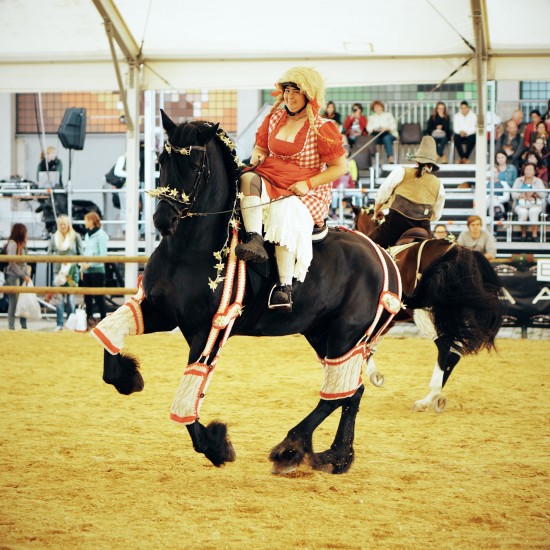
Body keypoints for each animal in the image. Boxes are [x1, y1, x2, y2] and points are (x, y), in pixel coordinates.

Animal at [98, 111, 410, 474]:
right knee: (349, 391)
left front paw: (216, 445)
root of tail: (383, 255)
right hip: (323, 335)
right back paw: (336, 456)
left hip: (346, 335)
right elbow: (108, 333)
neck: (188, 249)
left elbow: (187, 396)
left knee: (339, 393)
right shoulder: (159, 310)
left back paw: (291, 447)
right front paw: (127, 377)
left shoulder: (209, 330)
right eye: (161, 160)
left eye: (197, 166)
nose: (163, 219)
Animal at [354, 207, 504, 414]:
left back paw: (428, 398)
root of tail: (462, 254)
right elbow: (371, 343)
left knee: (444, 348)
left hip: (429, 315)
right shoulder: (390, 318)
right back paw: (433, 399)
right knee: (454, 354)